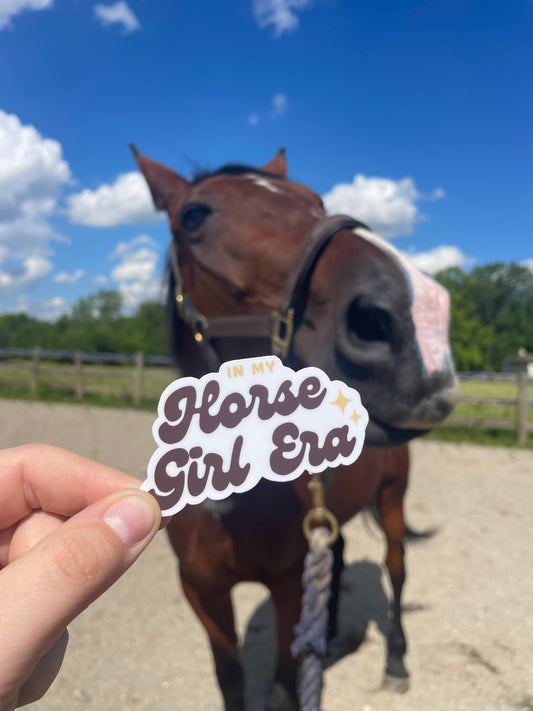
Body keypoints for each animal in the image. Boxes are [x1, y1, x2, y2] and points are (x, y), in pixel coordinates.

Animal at [131, 146, 458, 711]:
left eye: (315, 199)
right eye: (193, 216)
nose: (421, 320)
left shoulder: (286, 586)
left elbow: (284, 685)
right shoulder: (202, 591)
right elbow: (231, 678)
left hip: (392, 501)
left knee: (396, 570)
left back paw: (394, 661)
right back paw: (328, 641)